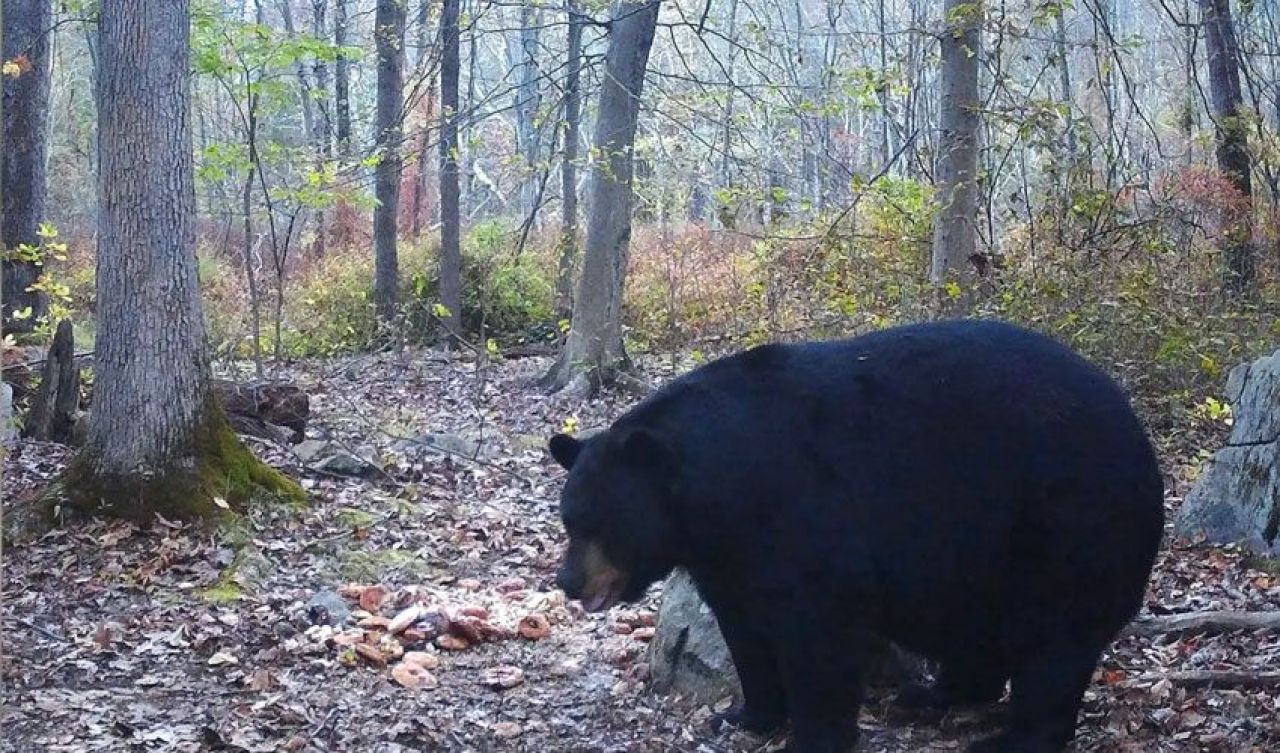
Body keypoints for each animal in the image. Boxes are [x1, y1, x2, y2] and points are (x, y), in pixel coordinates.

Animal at [545, 318, 1167, 753]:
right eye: (568, 518)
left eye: (600, 522)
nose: (568, 582)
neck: (715, 491)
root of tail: (1139, 437)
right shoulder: (728, 556)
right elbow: (744, 629)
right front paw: (746, 714)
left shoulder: (801, 516)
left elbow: (817, 629)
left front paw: (813, 734)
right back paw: (933, 693)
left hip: (1066, 524)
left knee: (1055, 642)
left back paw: (1010, 735)